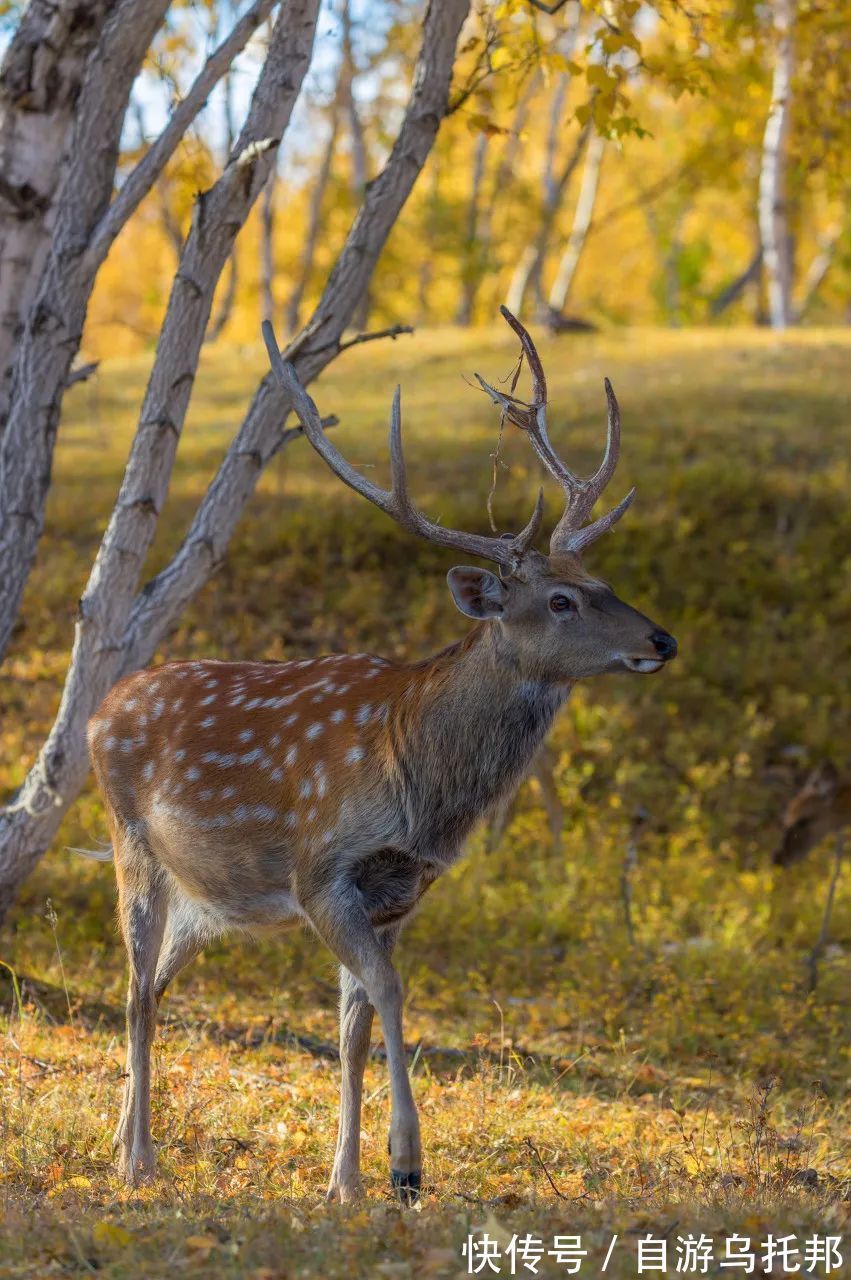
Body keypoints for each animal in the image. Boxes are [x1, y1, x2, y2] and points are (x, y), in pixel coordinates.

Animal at [86, 307, 675, 1198]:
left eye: (603, 582)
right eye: (560, 600)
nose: (660, 639)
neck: (421, 786)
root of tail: (98, 712)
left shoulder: (398, 894)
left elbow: (355, 1028)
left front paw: (346, 1184)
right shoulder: (321, 870)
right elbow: (391, 996)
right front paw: (405, 1167)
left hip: (207, 899)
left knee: (151, 987)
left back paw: (125, 1145)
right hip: (133, 846)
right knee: (133, 992)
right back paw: (141, 1161)